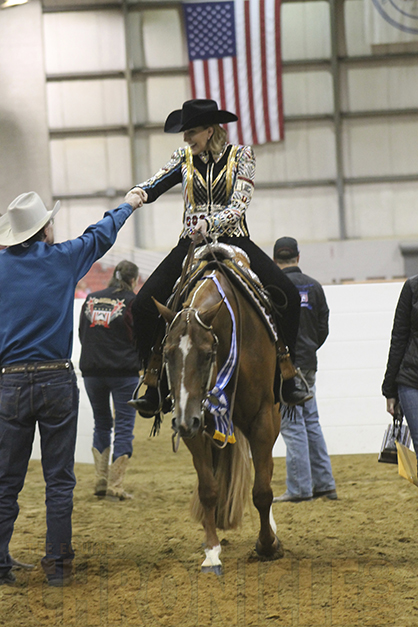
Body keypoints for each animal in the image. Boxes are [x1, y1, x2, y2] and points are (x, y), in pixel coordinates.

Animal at [155, 249, 282, 576]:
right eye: (166, 353)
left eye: (206, 354)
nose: (184, 422)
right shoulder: (196, 423)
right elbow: (209, 489)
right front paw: (212, 552)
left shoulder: (263, 419)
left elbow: (262, 490)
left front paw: (267, 544)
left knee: (267, 473)